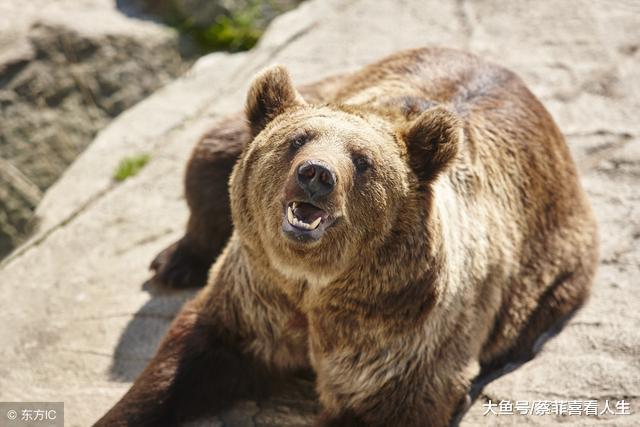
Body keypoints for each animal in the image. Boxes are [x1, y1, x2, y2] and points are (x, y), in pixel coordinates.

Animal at [96, 47, 600, 427]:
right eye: (298, 138)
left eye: (363, 161)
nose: (317, 175)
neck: (314, 286)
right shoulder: (257, 292)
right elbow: (184, 359)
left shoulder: (402, 332)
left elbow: (388, 401)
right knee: (208, 155)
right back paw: (174, 261)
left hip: (553, 268)